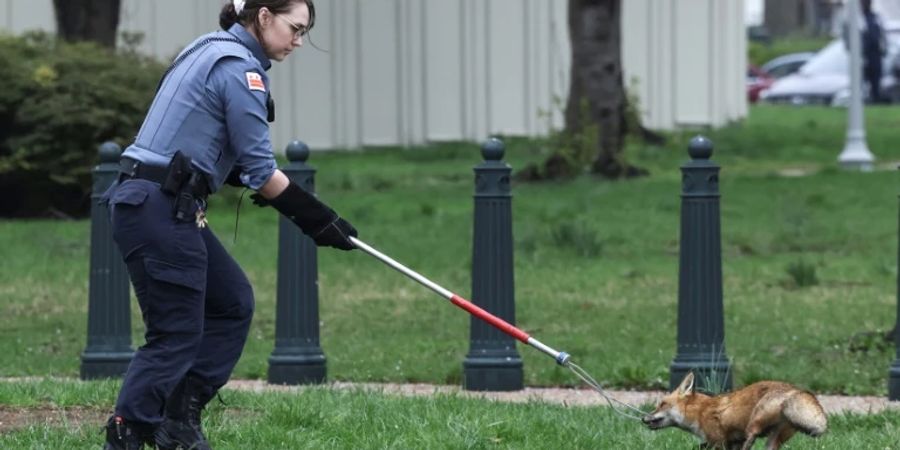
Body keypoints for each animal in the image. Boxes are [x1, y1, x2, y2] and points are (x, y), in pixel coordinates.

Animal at [644, 370, 828, 448]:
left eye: (662, 404)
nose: (643, 418)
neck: (699, 412)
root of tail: (795, 390)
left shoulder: (719, 441)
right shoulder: (728, 442)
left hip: (754, 421)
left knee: (751, 436)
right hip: (774, 439)